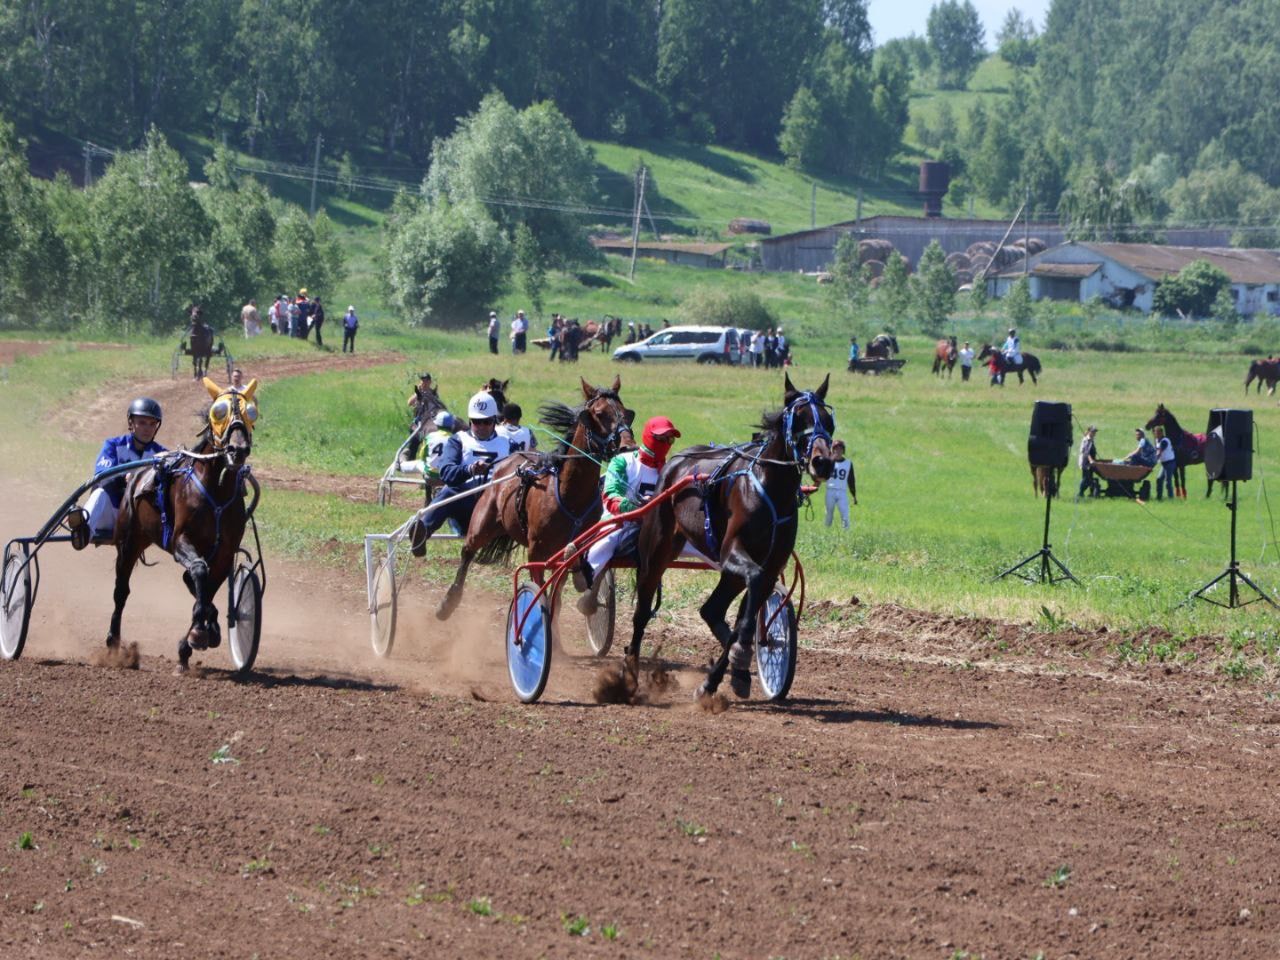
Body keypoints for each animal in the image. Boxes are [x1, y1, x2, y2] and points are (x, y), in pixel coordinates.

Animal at [111, 373, 258, 670]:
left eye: (251, 412)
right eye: (219, 411)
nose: (238, 449)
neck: (215, 489)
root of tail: (136, 474)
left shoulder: (225, 551)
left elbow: (208, 589)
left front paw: (196, 637)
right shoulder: (181, 540)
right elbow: (200, 572)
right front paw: (200, 632)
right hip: (128, 542)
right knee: (121, 591)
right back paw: (114, 644)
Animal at [437, 373, 637, 616]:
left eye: (626, 412)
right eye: (599, 413)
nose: (628, 445)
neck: (571, 497)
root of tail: (506, 462)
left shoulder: (567, 555)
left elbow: (557, 596)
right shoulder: (536, 553)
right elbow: (539, 591)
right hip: (482, 523)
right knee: (467, 551)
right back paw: (448, 602)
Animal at [604, 376, 834, 706]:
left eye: (828, 420)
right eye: (800, 418)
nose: (823, 461)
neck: (769, 486)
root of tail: (675, 464)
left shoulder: (770, 564)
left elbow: (747, 612)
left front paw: (732, 669)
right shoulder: (732, 552)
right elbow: (752, 588)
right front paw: (740, 655)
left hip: (726, 573)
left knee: (711, 610)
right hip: (656, 552)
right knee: (641, 614)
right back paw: (630, 677)